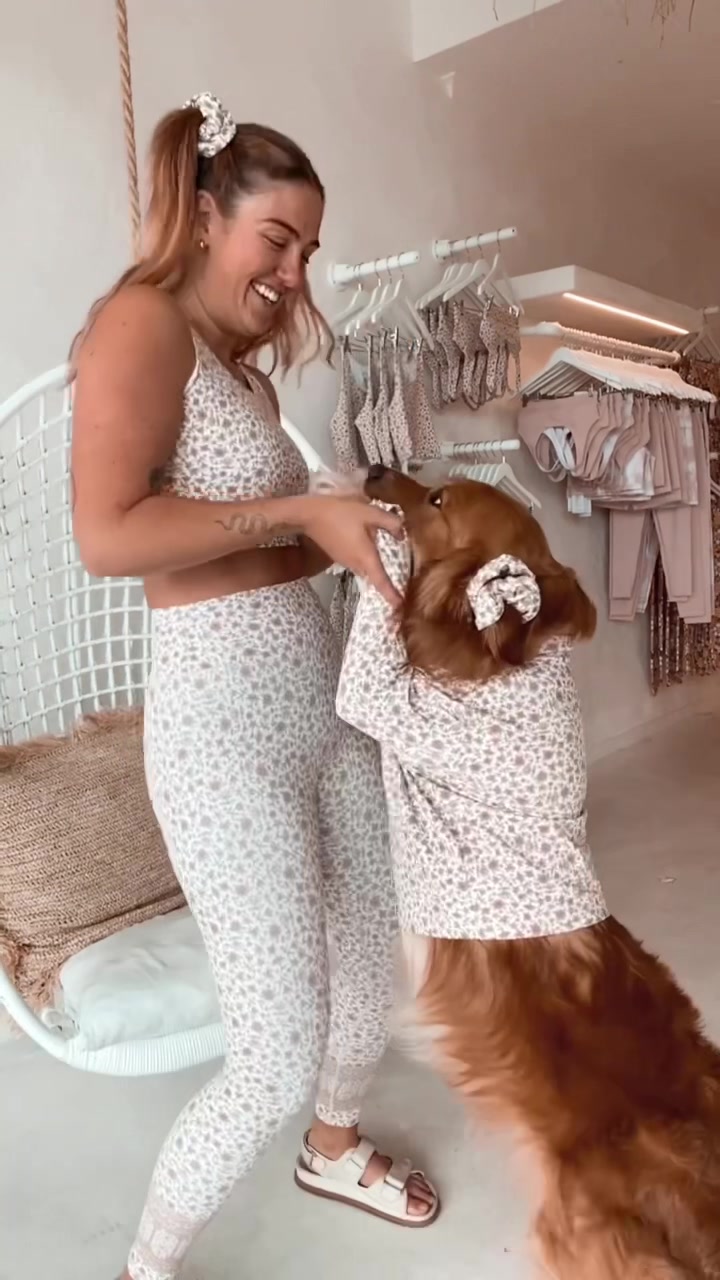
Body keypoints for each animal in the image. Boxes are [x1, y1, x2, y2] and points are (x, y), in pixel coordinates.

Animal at [335, 465, 720, 1280]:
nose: (375, 471)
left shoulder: (394, 709)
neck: (515, 655)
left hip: (576, 1247)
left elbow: (368, 678)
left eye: (438, 500)